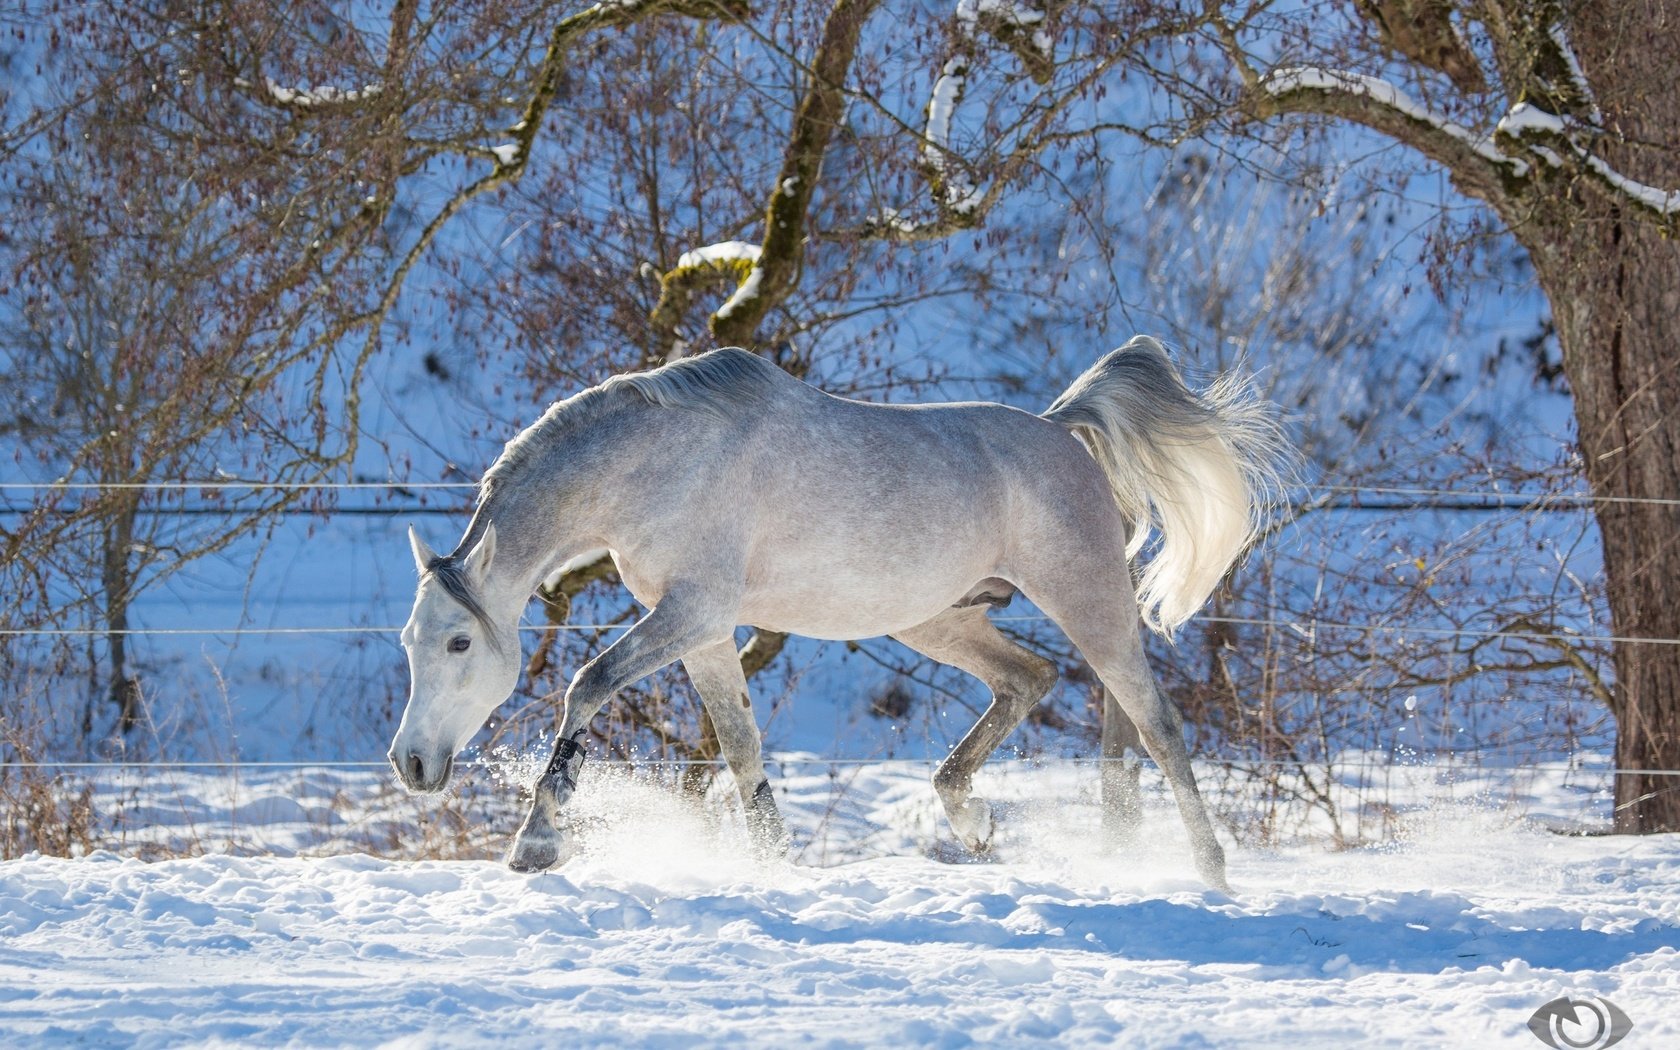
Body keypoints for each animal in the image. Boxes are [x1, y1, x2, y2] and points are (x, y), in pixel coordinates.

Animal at [389, 342, 1283, 887]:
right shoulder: (703, 630)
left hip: (1089, 602)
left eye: (460, 642)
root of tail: (1062, 432)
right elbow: (742, 748)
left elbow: (588, 683)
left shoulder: (693, 611)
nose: (412, 765)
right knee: (1029, 680)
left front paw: (535, 843)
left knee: (1155, 723)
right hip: (934, 619)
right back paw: (972, 822)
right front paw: (774, 867)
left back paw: (1208, 870)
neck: (655, 463)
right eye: (409, 642)